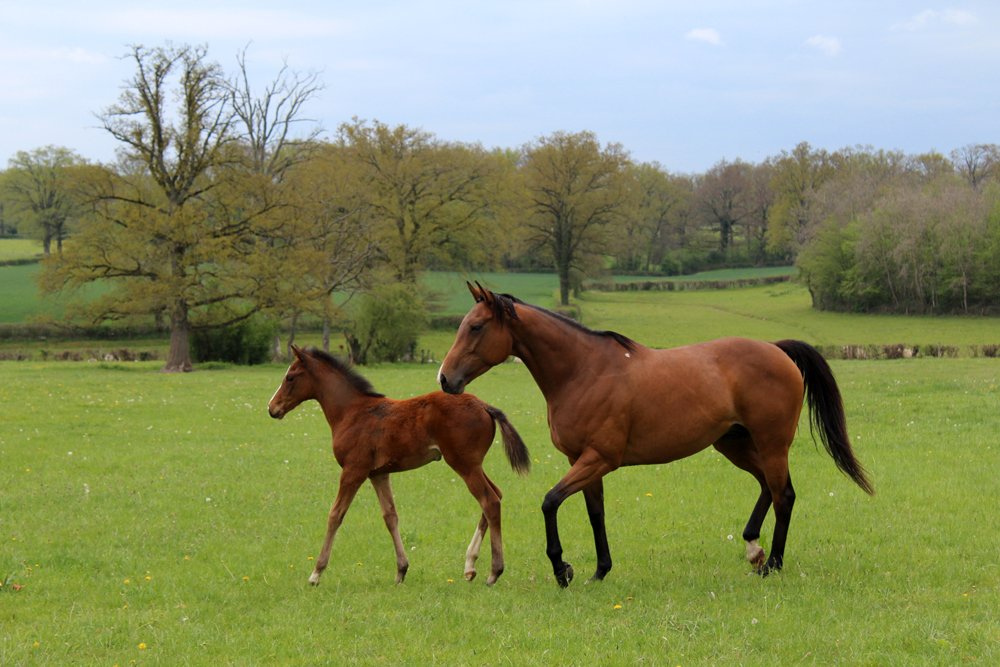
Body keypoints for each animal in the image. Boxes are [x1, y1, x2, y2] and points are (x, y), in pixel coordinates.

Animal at [267, 344, 530, 586]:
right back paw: (470, 566)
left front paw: (316, 573)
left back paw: (494, 571)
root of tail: (484, 405)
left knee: (489, 501)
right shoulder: (378, 474)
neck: (351, 411)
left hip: (464, 464)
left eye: (290, 377)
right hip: (473, 464)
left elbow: (335, 514)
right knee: (497, 494)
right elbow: (390, 516)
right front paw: (401, 570)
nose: (272, 408)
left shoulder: (354, 470)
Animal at [437, 282, 874, 587]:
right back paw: (754, 549)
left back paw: (774, 565)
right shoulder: (582, 460)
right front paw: (599, 571)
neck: (584, 371)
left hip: (770, 444)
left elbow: (550, 502)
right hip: (733, 444)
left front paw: (563, 569)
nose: (445, 379)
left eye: (476, 327)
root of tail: (777, 349)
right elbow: (595, 514)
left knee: (784, 495)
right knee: (769, 487)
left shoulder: (599, 458)